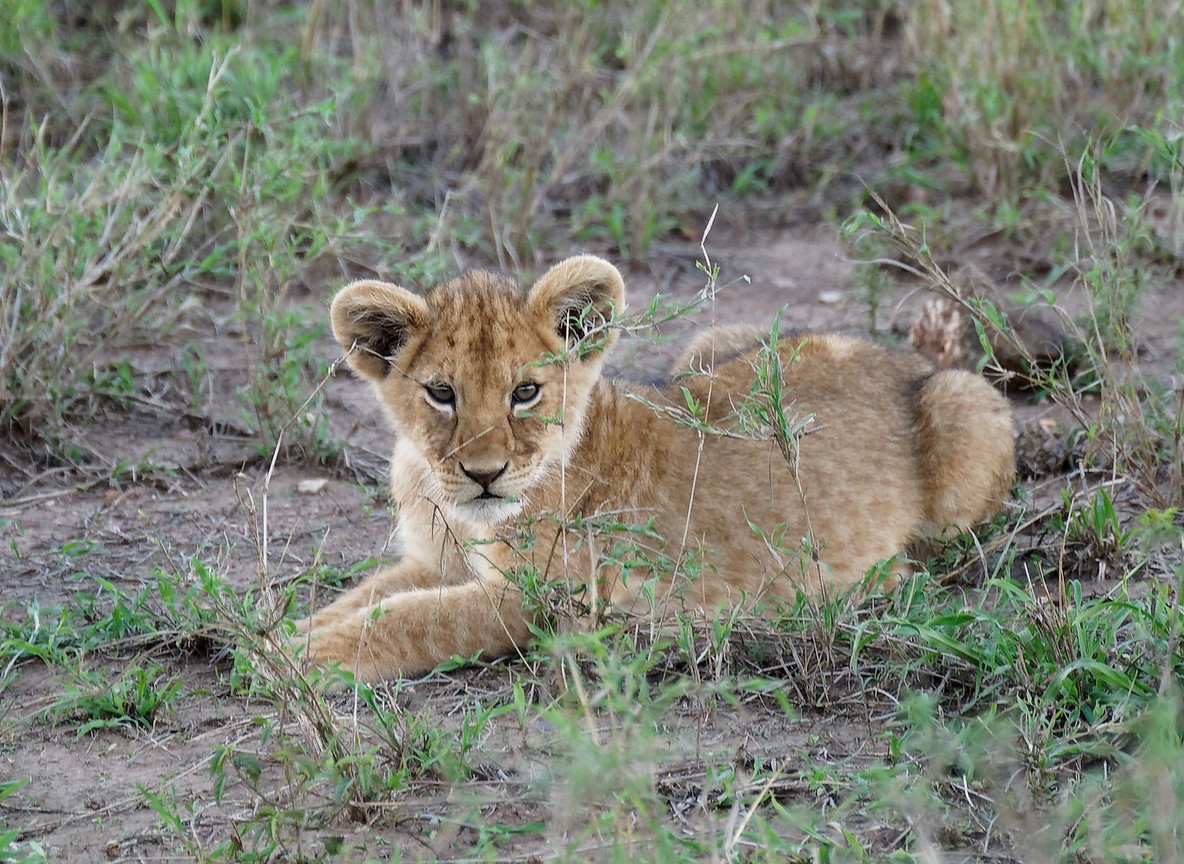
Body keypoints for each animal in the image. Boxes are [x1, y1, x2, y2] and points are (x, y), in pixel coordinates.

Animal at [293, 255, 1015, 681]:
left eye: (525, 392)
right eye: (441, 393)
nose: (484, 473)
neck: (456, 509)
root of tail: (903, 360)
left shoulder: (545, 599)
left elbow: (412, 621)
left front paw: (298, 657)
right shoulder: (434, 563)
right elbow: (363, 599)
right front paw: (288, 633)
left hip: (963, 413)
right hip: (711, 345)